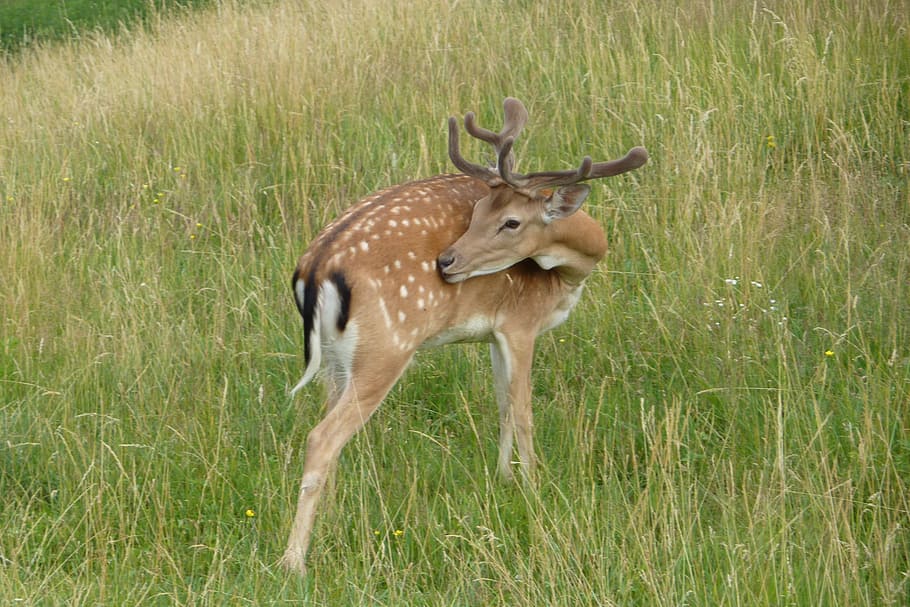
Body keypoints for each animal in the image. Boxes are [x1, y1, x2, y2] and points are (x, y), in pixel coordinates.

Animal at [282, 97, 647, 574]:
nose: (446, 261)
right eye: (477, 213)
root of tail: (316, 268)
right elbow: (524, 409)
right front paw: (534, 488)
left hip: (334, 359)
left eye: (509, 221)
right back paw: (294, 561)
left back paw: (332, 516)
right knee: (321, 437)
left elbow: (502, 404)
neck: (570, 274)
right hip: (385, 349)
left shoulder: (492, 332)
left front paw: (504, 478)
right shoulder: (521, 322)